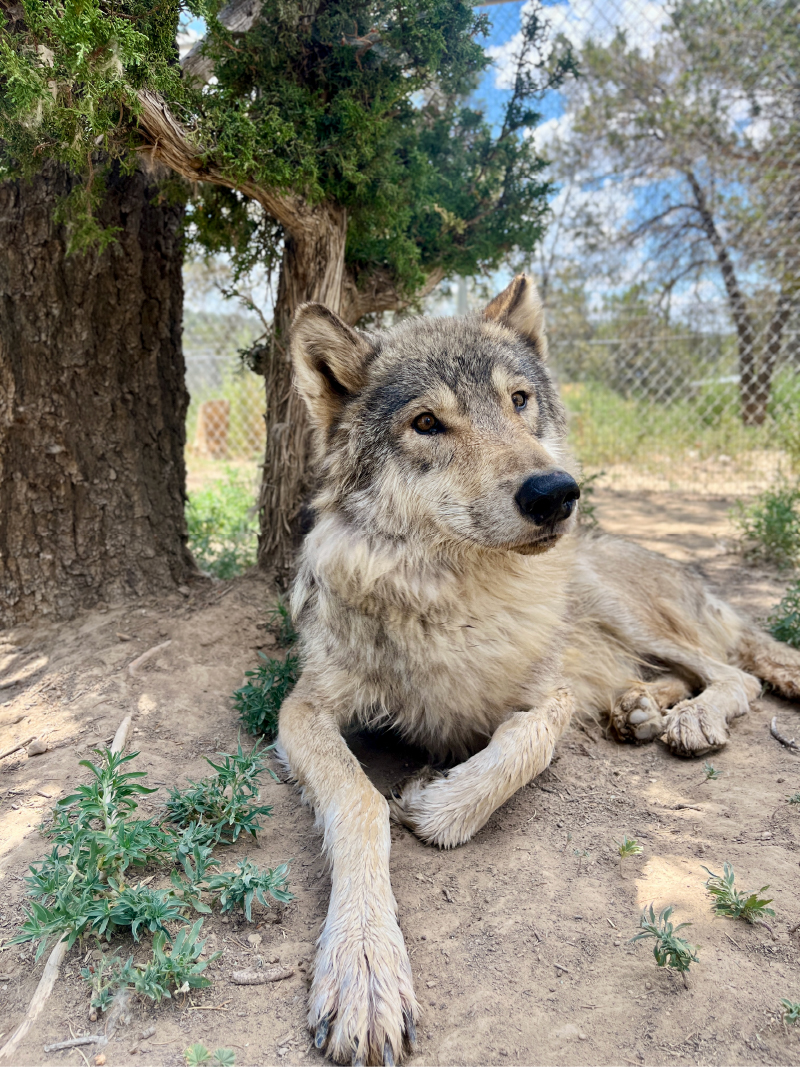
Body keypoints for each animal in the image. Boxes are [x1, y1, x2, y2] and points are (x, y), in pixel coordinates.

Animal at [276, 275, 800, 1066]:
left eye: (519, 400)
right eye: (426, 423)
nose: (555, 492)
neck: (458, 599)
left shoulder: (547, 686)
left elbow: (529, 740)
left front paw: (441, 801)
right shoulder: (303, 707)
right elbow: (361, 801)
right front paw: (365, 966)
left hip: (608, 603)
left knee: (735, 672)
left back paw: (686, 717)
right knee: (689, 671)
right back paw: (638, 708)